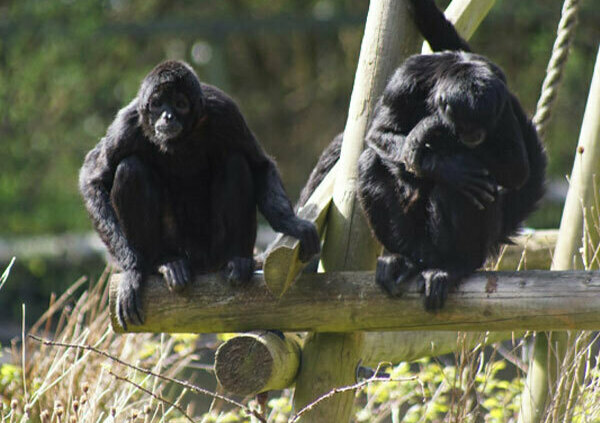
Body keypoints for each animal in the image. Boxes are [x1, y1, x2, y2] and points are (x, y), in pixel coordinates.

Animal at [82, 61, 322, 330]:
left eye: (179, 104)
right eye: (157, 104)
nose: (167, 116)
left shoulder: (225, 111)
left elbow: (260, 165)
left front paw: (293, 224)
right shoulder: (127, 125)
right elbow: (93, 181)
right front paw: (133, 270)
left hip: (215, 246)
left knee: (236, 161)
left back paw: (238, 261)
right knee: (130, 167)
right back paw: (165, 263)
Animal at [298, 0, 548, 312]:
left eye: (482, 125)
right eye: (467, 125)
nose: (474, 136)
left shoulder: (500, 101)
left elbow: (516, 168)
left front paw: (434, 129)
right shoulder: (406, 78)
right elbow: (377, 133)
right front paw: (444, 157)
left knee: (461, 190)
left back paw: (453, 264)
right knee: (371, 163)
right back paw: (406, 259)